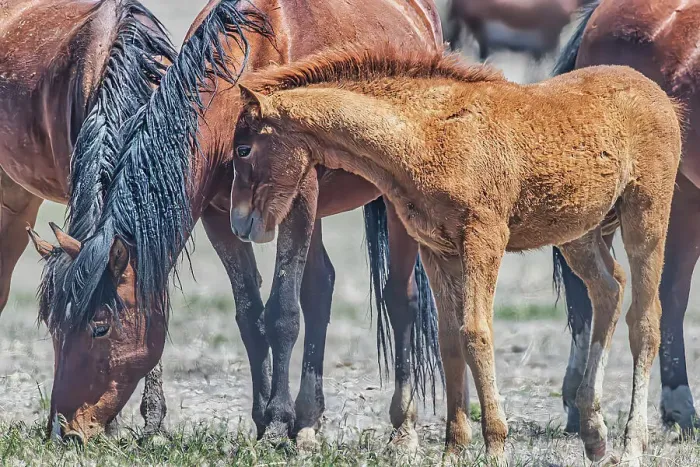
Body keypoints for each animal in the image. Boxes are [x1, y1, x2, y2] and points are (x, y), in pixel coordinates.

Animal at [27, 0, 446, 446]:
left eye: (100, 327)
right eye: (54, 327)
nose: (63, 430)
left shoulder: (298, 200)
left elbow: (282, 313)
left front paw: (277, 422)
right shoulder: (219, 216)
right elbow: (250, 315)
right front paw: (265, 419)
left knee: (401, 299)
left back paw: (403, 430)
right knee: (320, 288)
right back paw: (308, 422)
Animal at [227, 46, 682, 464]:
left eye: (243, 150)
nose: (239, 222)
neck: (425, 135)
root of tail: (657, 94)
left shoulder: (484, 237)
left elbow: (476, 333)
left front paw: (495, 445)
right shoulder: (437, 250)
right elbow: (449, 341)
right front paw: (454, 448)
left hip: (646, 216)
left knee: (645, 321)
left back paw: (633, 444)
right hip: (579, 234)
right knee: (609, 289)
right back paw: (595, 436)